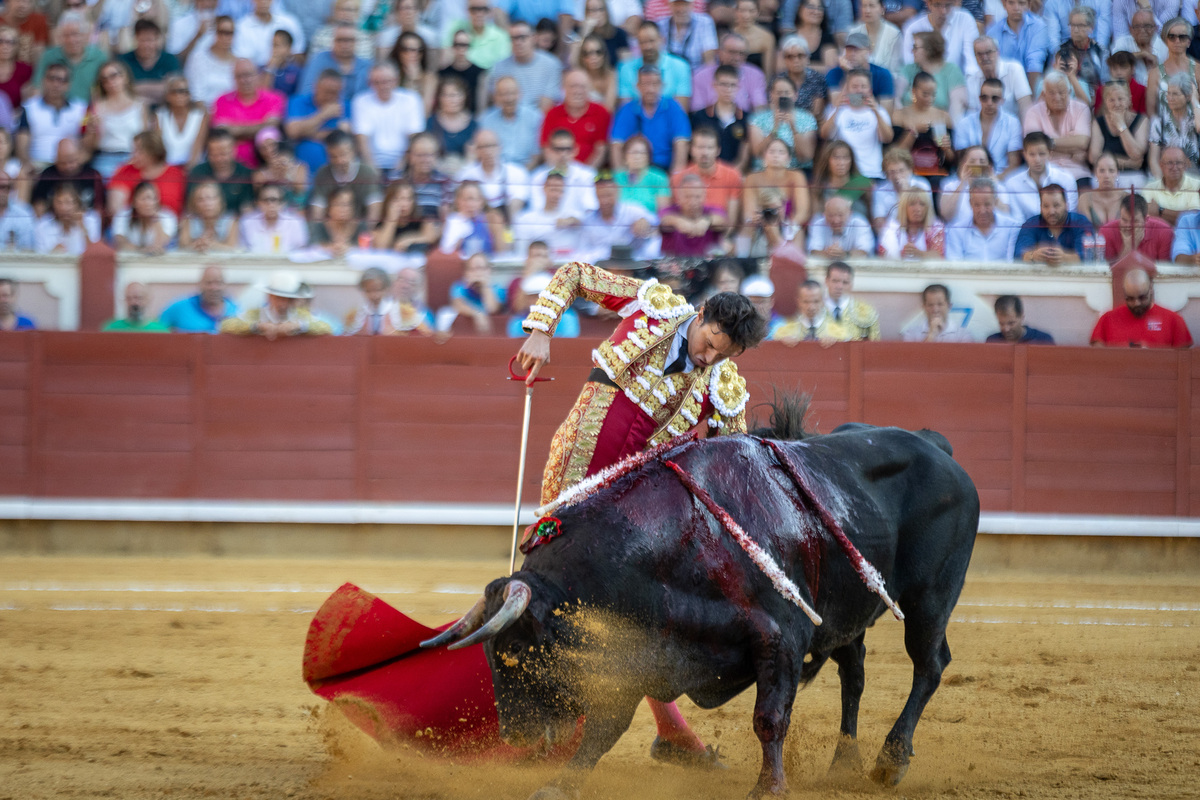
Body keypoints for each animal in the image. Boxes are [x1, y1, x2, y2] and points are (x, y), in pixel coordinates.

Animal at [427, 422, 979, 796]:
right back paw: (845, 764)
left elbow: (769, 718)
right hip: (850, 611)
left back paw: (890, 761)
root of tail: (936, 446)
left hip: (931, 597)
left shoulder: (781, 639)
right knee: (855, 673)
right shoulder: (641, 645)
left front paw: (768, 788)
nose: (514, 736)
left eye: (516, 651)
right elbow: (605, 726)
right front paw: (560, 784)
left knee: (930, 665)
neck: (683, 544)